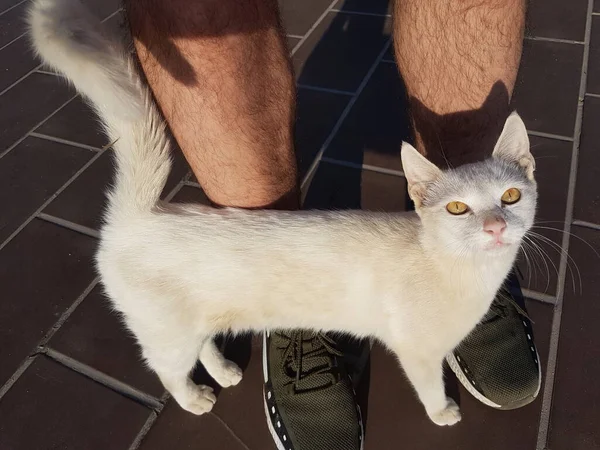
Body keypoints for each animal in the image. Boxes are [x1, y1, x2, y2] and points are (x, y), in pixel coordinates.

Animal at [25, 0, 536, 426]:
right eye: (457, 208)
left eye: (510, 196)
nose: (495, 226)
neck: (463, 272)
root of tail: (139, 214)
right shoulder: (418, 351)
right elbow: (429, 386)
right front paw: (444, 411)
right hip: (166, 332)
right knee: (167, 369)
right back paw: (194, 399)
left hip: (193, 321)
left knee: (203, 344)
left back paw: (224, 371)